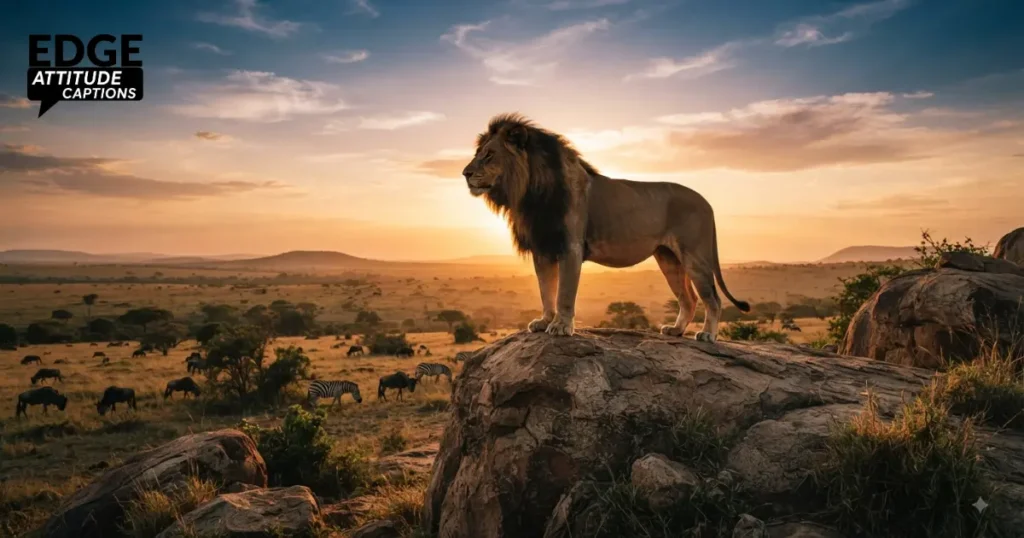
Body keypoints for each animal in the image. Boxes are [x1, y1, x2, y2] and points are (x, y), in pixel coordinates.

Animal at [461, 113, 750, 341]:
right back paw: (676, 331)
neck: (530, 194)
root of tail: (706, 202)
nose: (465, 173)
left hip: (695, 255)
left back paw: (708, 335)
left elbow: (564, 292)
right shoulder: (542, 249)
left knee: (712, 298)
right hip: (668, 258)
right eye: (477, 154)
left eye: (489, 155)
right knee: (688, 299)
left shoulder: (570, 247)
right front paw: (544, 321)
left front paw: (561, 326)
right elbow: (546, 290)